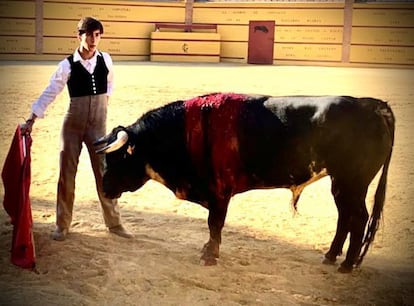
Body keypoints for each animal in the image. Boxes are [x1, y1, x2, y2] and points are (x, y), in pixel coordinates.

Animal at [94, 94, 394, 272]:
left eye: (118, 157)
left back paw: (347, 264)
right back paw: (331, 256)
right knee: (345, 217)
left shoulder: (219, 193)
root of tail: (372, 106)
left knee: (358, 217)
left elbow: (214, 224)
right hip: (340, 183)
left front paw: (210, 255)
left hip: (352, 182)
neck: (185, 130)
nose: (105, 189)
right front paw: (208, 250)